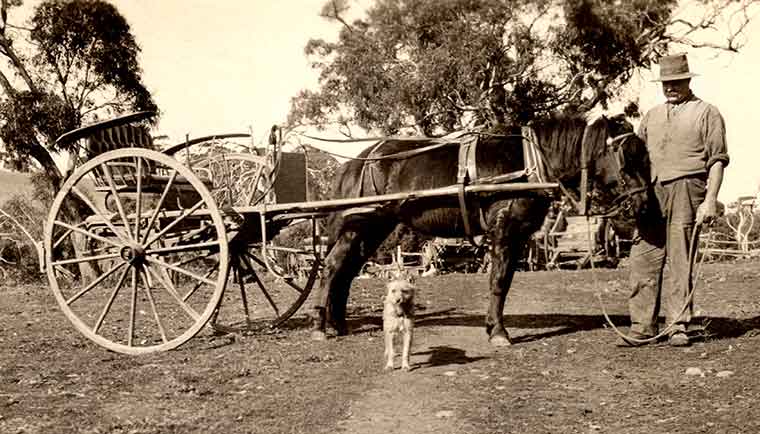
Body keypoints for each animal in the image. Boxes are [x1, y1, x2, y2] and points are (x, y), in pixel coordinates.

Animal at [308, 115, 648, 346]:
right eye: (626, 156)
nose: (643, 202)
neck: (530, 163)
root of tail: (355, 163)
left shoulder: (519, 236)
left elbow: (505, 280)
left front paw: (493, 326)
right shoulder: (505, 230)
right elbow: (498, 281)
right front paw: (498, 331)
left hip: (374, 227)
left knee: (346, 272)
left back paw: (337, 324)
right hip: (359, 225)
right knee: (332, 267)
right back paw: (320, 325)